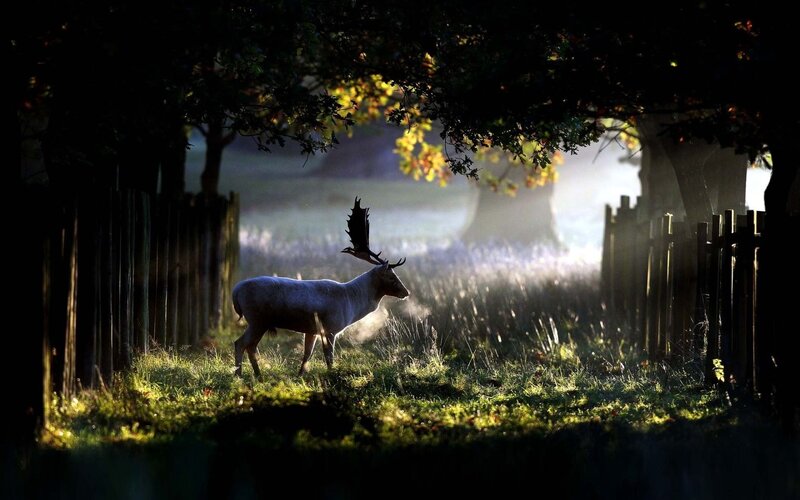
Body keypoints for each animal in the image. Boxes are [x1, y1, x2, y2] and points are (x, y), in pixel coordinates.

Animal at [232, 198, 409, 377]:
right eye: (391, 276)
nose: (406, 292)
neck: (352, 301)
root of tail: (236, 291)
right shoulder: (331, 328)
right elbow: (329, 357)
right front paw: (332, 375)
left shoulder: (311, 330)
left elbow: (307, 354)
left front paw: (300, 375)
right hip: (257, 319)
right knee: (240, 343)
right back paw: (239, 375)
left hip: (260, 322)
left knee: (251, 347)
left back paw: (258, 375)